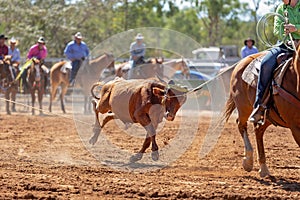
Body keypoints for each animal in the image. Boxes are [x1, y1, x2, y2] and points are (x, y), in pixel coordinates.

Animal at [223, 44, 300, 177]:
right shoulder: (295, 127)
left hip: (268, 116)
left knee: (258, 130)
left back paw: (263, 167)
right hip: (243, 107)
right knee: (241, 124)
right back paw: (248, 160)